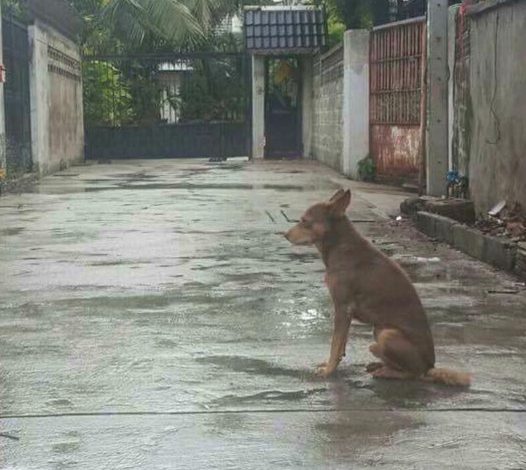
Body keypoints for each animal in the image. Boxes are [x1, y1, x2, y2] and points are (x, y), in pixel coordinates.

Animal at [286, 189, 472, 388]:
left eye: (305, 221)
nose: (285, 234)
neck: (339, 245)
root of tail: (430, 367)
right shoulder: (344, 313)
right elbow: (341, 343)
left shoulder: (343, 308)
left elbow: (335, 344)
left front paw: (329, 370)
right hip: (378, 330)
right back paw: (378, 365)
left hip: (386, 335)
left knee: (413, 374)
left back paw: (385, 371)